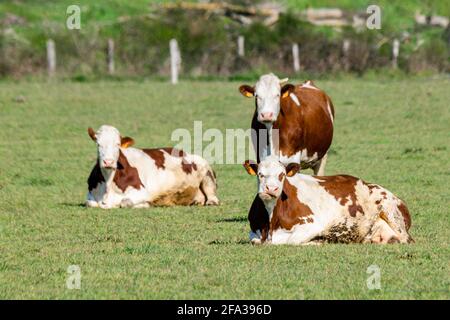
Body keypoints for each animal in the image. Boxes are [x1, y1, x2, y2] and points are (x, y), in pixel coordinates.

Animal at [86, 124, 220, 209]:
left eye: (117, 144)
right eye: (98, 144)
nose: (108, 162)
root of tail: (185, 152)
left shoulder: (142, 192)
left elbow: (125, 202)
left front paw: (145, 204)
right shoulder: (90, 194)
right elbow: (91, 203)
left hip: (206, 172)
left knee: (211, 192)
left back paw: (211, 202)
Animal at [244, 156, 414, 246]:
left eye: (282, 174)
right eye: (260, 174)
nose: (271, 189)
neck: (271, 222)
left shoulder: (312, 225)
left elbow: (291, 240)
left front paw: (317, 241)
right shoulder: (254, 230)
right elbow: (255, 240)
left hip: (391, 211)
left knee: (407, 239)